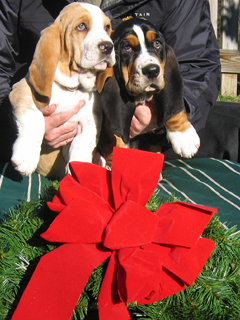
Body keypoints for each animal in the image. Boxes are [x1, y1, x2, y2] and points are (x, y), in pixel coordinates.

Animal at [10, 1, 116, 178]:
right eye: (81, 26)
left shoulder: (90, 119)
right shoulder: (22, 91)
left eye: (107, 27)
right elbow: (36, 121)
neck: (71, 88)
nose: (108, 46)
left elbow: (82, 144)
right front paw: (26, 158)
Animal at [97, 17, 201, 164]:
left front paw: (183, 137)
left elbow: (172, 107)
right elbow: (116, 141)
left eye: (157, 43)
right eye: (127, 48)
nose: (152, 70)